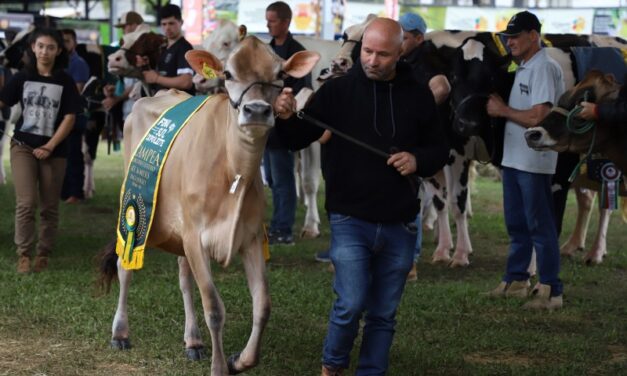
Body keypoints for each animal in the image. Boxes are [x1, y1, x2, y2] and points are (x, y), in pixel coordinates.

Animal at [100, 36, 322, 376]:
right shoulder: (195, 237)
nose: (257, 110)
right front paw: (219, 367)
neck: (233, 171)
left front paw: (240, 360)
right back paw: (120, 333)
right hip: (133, 213)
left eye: (280, 75)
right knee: (126, 268)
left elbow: (263, 306)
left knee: (183, 279)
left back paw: (193, 340)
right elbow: (214, 308)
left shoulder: (250, 238)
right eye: (228, 74)